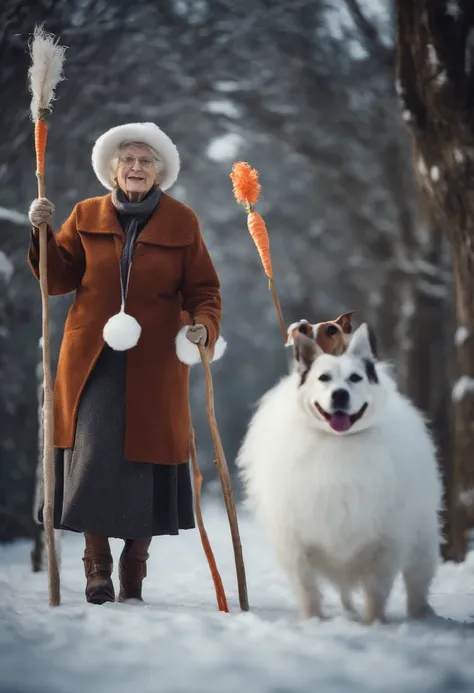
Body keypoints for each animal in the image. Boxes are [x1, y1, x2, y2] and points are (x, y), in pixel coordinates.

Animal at [239, 324, 442, 620]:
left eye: (355, 378)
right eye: (324, 378)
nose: (340, 394)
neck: (338, 442)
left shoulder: (385, 540)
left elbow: (376, 589)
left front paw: (374, 623)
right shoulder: (293, 541)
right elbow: (306, 587)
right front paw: (313, 620)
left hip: (421, 540)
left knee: (417, 581)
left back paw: (420, 615)